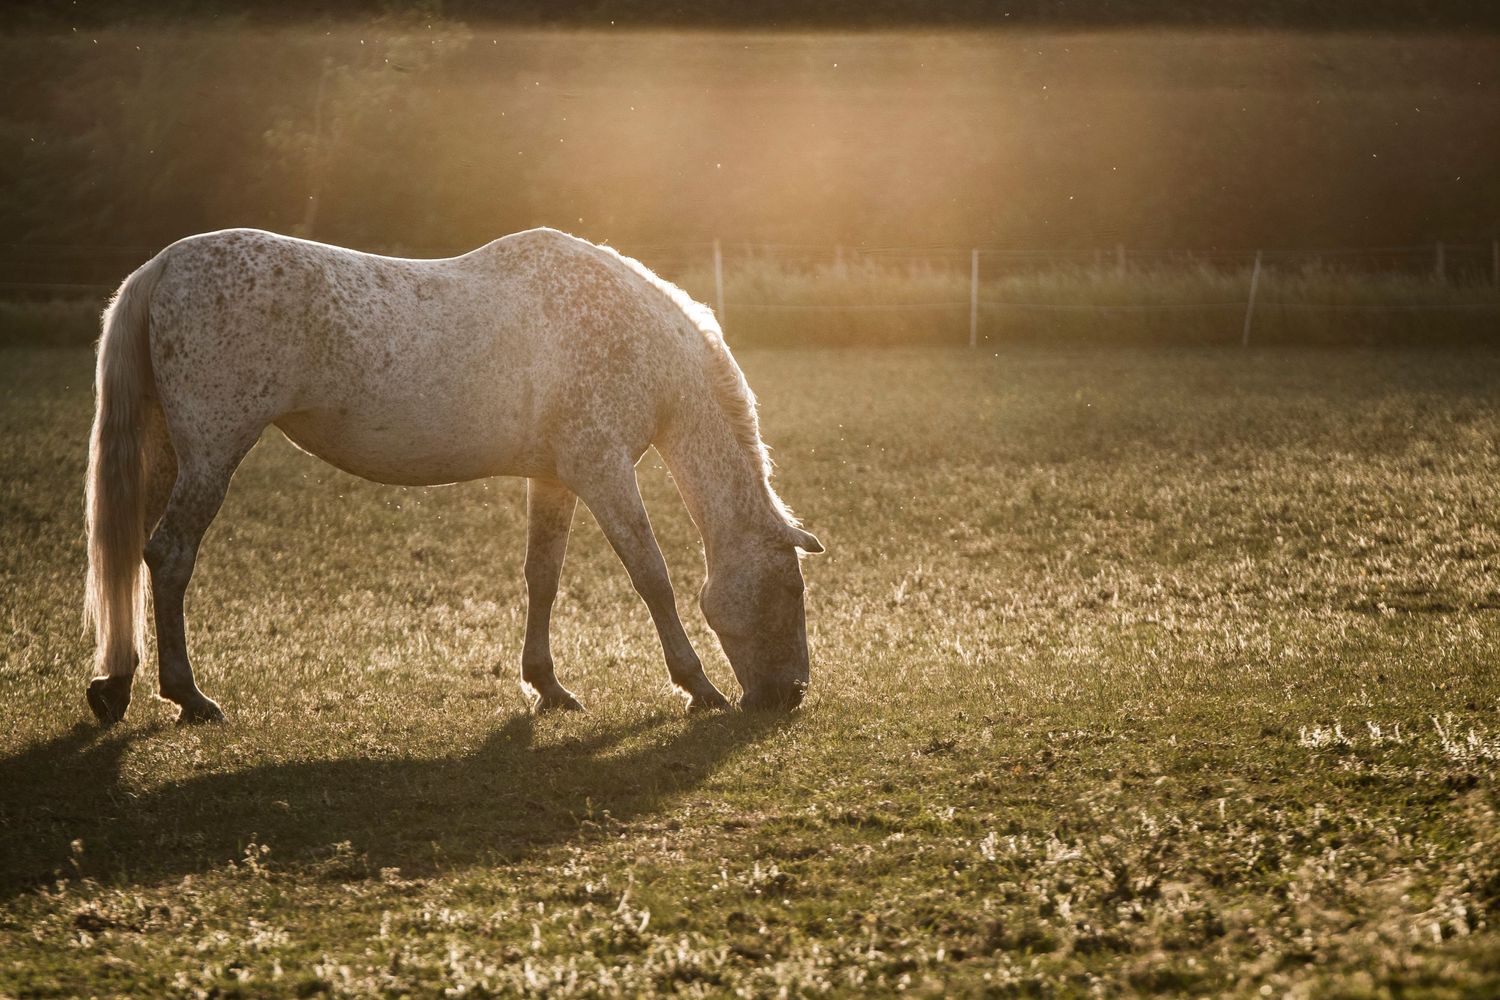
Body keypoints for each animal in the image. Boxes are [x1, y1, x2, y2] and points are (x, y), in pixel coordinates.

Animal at [83, 227, 823, 725]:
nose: (789, 695)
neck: (634, 336)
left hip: (169, 454)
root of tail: (165, 265)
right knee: (168, 555)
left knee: (128, 559)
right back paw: (188, 696)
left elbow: (542, 578)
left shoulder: (556, 480)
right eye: (790, 590)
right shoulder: (603, 471)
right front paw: (698, 686)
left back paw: (115, 685)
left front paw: (547, 686)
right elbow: (653, 577)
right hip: (213, 455)